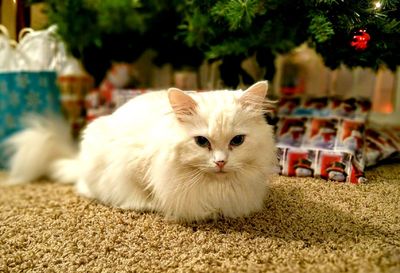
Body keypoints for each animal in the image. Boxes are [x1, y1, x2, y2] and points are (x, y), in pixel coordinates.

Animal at [4, 81, 276, 221]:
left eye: (237, 141)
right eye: (201, 142)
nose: (220, 162)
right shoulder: (134, 164)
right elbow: (147, 192)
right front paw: (151, 205)